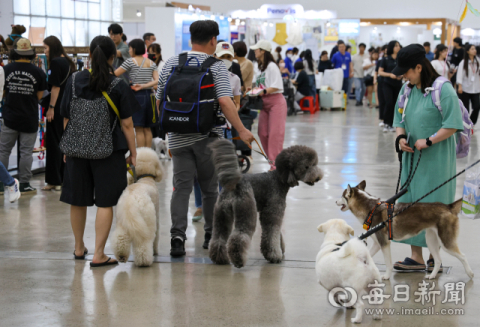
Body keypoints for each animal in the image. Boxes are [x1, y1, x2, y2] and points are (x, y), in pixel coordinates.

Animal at [336, 181, 474, 280]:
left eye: (342, 196)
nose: (335, 201)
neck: (372, 209)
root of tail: (448, 207)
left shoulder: (384, 243)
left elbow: (388, 263)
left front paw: (386, 276)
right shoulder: (377, 243)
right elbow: (368, 254)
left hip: (446, 242)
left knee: (463, 256)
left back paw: (470, 273)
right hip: (431, 240)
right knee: (438, 260)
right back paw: (432, 275)